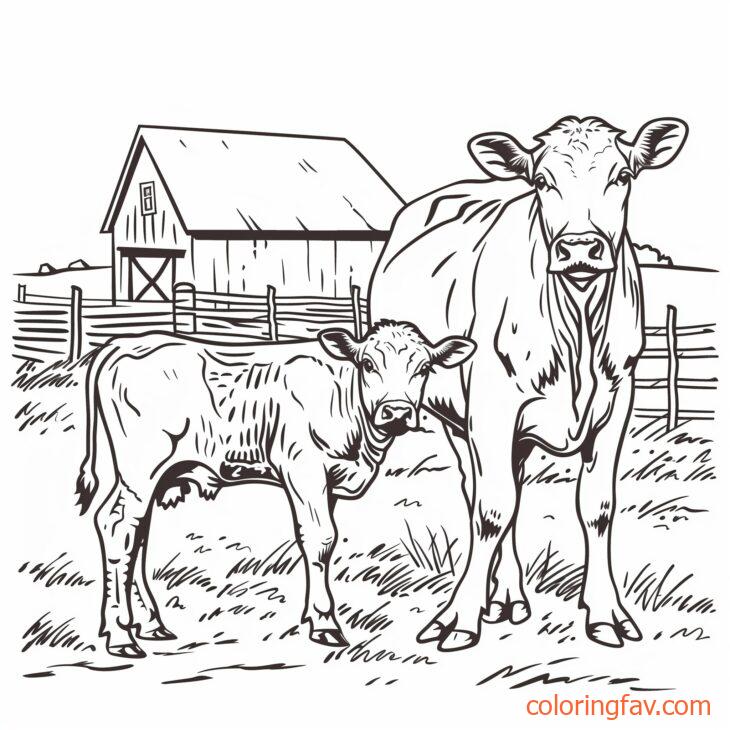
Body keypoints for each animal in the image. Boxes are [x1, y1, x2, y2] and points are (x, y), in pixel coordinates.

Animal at [74, 322, 472, 656]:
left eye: (423, 368)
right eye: (368, 364)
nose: (397, 412)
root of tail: (126, 342)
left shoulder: (329, 483)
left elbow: (325, 542)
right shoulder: (304, 470)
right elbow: (320, 538)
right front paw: (325, 624)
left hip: (149, 475)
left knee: (135, 533)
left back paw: (151, 623)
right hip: (141, 469)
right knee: (118, 527)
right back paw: (121, 635)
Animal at [370, 116, 684, 652]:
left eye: (623, 176)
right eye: (542, 181)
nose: (579, 248)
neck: (578, 332)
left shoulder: (617, 401)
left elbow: (598, 508)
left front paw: (606, 614)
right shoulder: (491, 408)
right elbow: (492, 510)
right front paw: (458, 618)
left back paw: (508, 595)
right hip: (456, 416)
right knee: (480, 491)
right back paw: (498, 594)